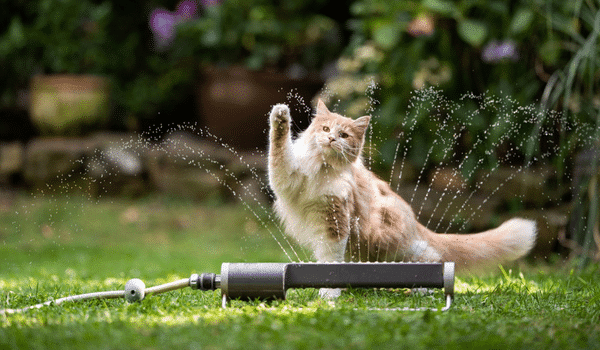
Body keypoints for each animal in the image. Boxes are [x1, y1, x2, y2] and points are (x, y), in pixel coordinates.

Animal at [268, 99, 536, 298]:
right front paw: (280, 117)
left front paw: (329, 293)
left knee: (432, 256)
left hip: (388, 243)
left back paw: (423, 288)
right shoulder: (287, 179)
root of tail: (414, 221)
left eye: (343, 135)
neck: (322, 169)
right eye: (325, 129)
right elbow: (278, 151)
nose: (331, 139)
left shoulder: (336, 222)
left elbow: (331, 261)